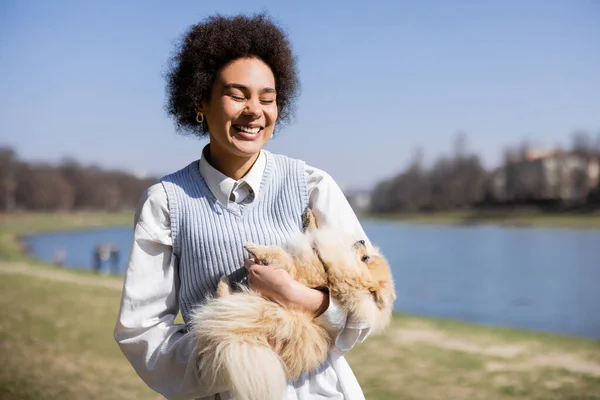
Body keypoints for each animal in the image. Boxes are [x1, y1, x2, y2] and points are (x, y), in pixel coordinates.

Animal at [190, 209, 396, 400]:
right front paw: (309, 218)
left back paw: (223, 282)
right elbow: (313, 234)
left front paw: (254, 247)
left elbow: (279, 254)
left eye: (365, 258)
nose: (362, 240)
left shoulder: (295, 272)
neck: (331, 271)